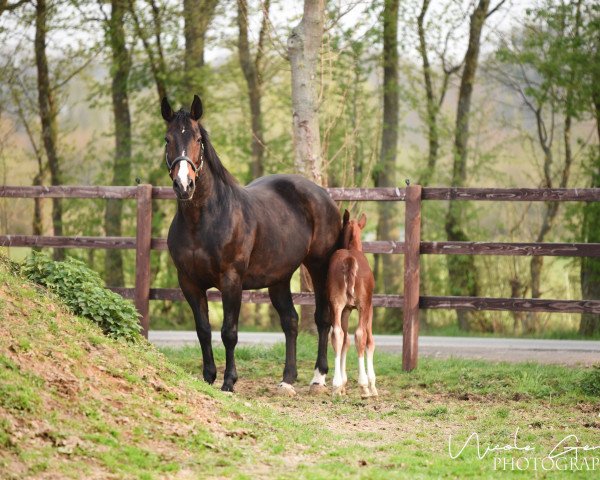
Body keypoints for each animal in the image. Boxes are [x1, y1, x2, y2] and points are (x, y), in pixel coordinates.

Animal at [162, 95, 340, 392]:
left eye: (198, 139)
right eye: (167, 139)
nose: (184, 185)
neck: (202, 222)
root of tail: (322, 195)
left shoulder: (231, 280)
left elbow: (229, 332)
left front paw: (229, 381)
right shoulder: (188, 282)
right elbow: (203, 330)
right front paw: (208, 376)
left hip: (319, 266)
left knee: (323, 317)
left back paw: (319, 376)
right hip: (279, 277)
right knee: (290, 321)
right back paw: (287, 378)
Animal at [328, 210, 376, 398]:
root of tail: (349, 259)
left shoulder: (346, 310)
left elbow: (345, 341)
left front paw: (342, 384)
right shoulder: (369, 307)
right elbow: (369, 341)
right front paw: (372, 385)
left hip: (336, 304)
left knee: (337, 334)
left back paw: (335, 384)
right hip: (363, 306)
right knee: (360, 335)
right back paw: (363, 386)